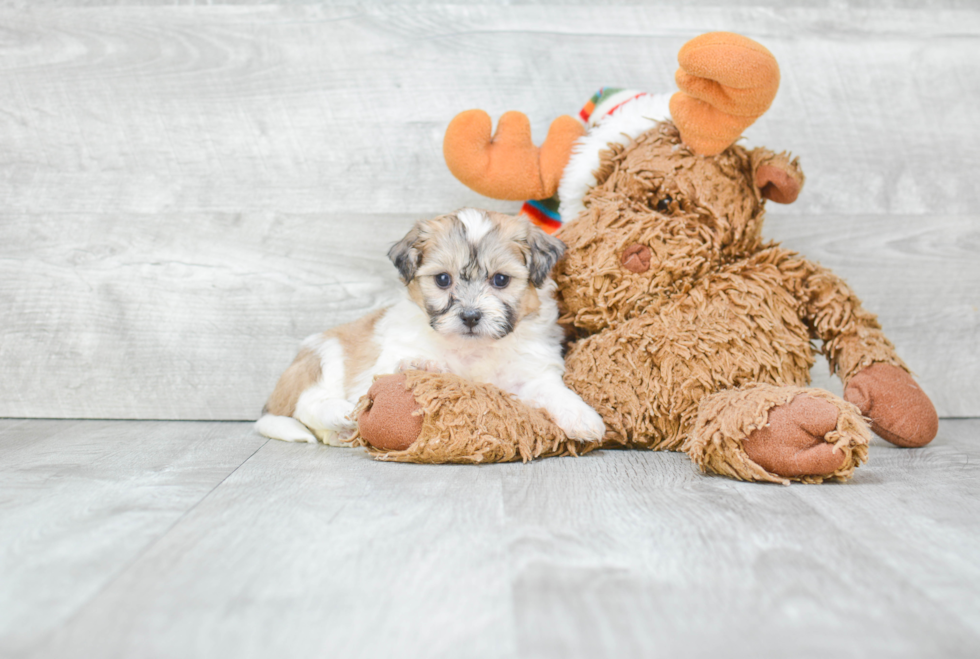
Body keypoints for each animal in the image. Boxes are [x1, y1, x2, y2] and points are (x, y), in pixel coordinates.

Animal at [253, 210, 604, 448]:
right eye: (443, 279)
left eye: (501, 280)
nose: (471, 316)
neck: (472, 348)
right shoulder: (386, 358)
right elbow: (402, 363)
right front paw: (423, 364)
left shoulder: (529, 375)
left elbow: (553, 391)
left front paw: (583, 418)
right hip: (325, 355)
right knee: (307, 405)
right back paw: (340, 414)